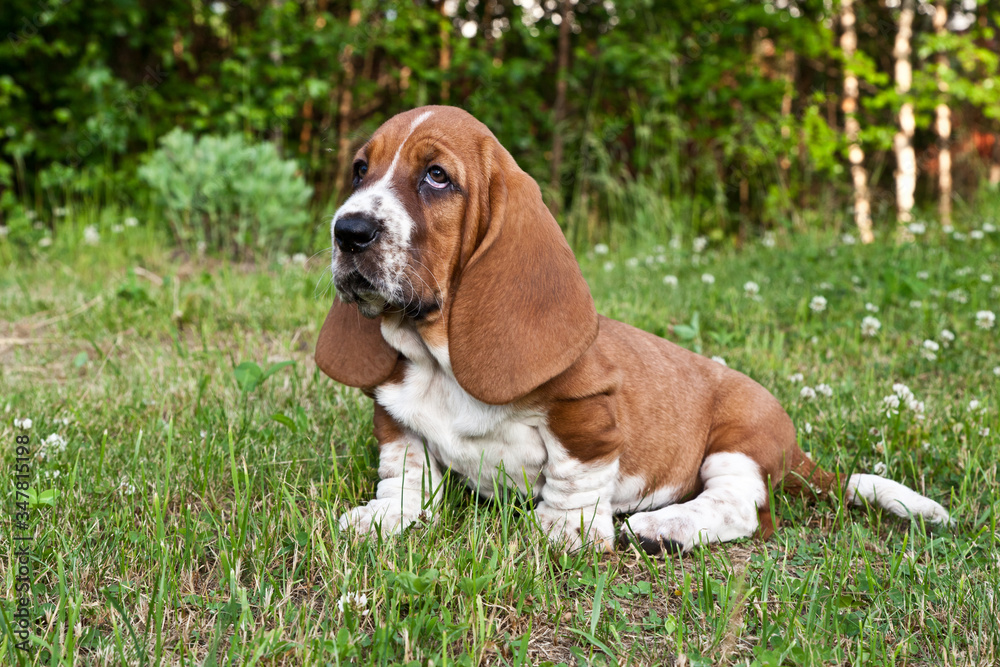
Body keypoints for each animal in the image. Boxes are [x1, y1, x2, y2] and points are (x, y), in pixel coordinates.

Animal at [316, 105, 948, 552]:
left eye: (437, 176)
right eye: (360, 170)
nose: (348, 231)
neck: (436, 355)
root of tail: (796, 452)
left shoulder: (587, 413)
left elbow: (574, 476)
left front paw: (563, 531)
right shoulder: (396, 419)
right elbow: (405, 473)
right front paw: (387, 517)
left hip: (738, 438)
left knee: (745, 509)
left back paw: (665, 527)